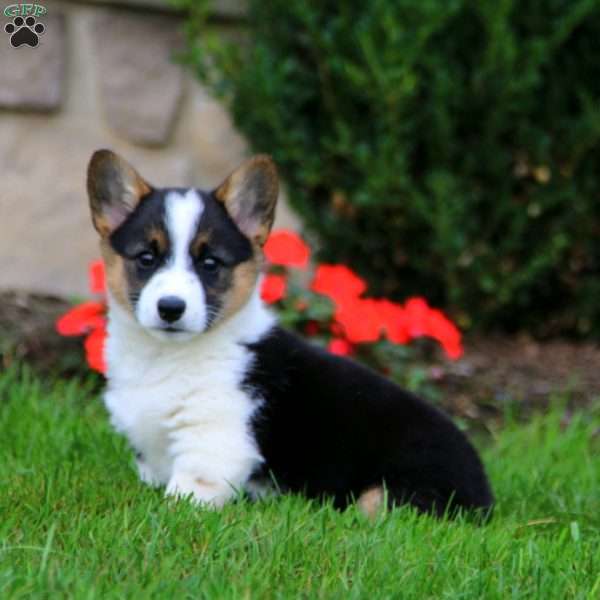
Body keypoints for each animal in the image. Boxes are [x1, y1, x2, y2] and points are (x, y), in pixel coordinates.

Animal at [88, 151, 492, 520]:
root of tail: (486, 495)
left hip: (386, 495)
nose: (171, 308)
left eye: (210, 264)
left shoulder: (214, 443)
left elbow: (185, 494)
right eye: (146, 259)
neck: (164, 355)